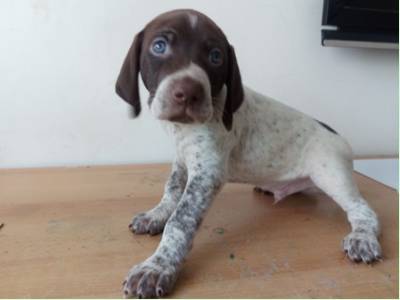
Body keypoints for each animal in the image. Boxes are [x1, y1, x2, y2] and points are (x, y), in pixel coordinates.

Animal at [115, 8, 382, 298]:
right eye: (159, 46)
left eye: (216, 56)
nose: (189, 93)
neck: (183, 129)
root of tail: (337, 134)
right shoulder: (182, 160)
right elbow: (171, 190)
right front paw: (156, 215)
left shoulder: (207, 174)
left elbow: (181, 220)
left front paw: (157, 266)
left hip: (331, 174)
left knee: (362, 209)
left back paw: (363, 237)